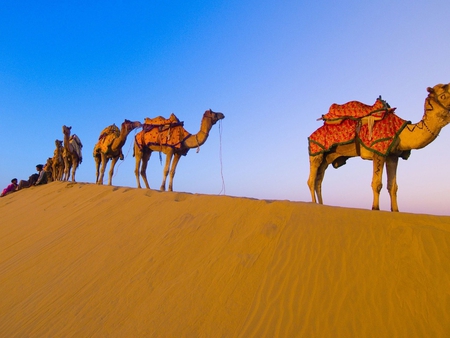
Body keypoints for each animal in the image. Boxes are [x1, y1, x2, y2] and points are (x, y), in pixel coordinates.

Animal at [306, 84, 450, 211]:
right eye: (443, 96)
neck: (402, 132)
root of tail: (311, 135)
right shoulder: (378, 151)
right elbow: (377, 184)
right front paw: (375, 208)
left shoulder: (393, 156)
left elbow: (393, 186)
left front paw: (395, 210)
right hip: (316, 152)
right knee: (311, 180)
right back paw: (313, 204)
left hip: (328, 157)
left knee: (319, 181)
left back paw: (321, 204)